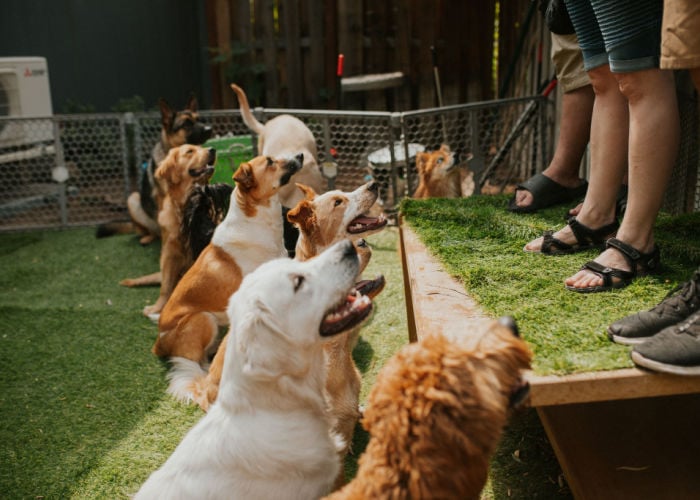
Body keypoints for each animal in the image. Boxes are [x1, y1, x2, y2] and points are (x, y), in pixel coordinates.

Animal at [95, 94, 213, 245]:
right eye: (186, 124)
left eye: (199, 120)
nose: (209, 129)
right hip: (133, 199)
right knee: (151, 231)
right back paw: (147, 238)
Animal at [119, 145, 216, 318]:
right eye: (190, 151)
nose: (213, 149)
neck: (185, 210)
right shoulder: (169, 254)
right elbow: (165, 288)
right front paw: (157, 308)